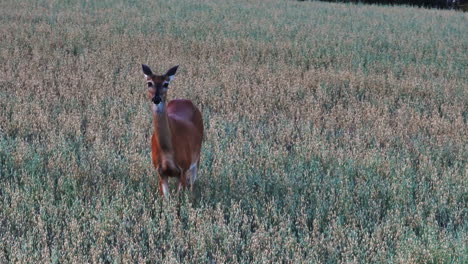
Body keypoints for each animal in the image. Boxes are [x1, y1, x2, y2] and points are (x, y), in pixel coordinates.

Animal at [141, 64, 203, 198]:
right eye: (149, 83)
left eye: (166, 84)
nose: (156, 98)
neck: (167, 150)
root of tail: (184, 100)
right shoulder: (160, 172)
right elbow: (165, 199)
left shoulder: (183, 169)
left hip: (197, 156)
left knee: (193, 184)